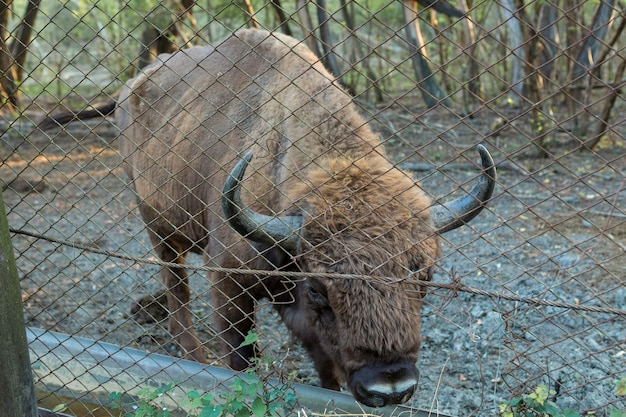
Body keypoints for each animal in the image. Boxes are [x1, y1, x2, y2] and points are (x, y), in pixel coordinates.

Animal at [114, 29, 494, 406]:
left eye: (426, 277)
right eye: (317, 288)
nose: (390, 386)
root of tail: (132, 86)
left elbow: (324, 363)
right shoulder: (229, 283)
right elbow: (242, 359)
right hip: (158, 227)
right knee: (176, 286)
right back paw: (193, 353)